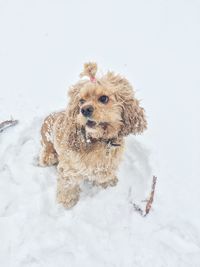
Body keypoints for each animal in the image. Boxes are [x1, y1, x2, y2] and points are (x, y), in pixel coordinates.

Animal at [39, 63, 147, 209]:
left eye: (104, 98)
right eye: (81, 101)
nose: (84, 109)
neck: (100, 141)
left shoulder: (108, 163)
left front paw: (108, 182)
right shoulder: (70, 167)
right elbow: (67, 184)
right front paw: (67, 201)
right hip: (48, 143)